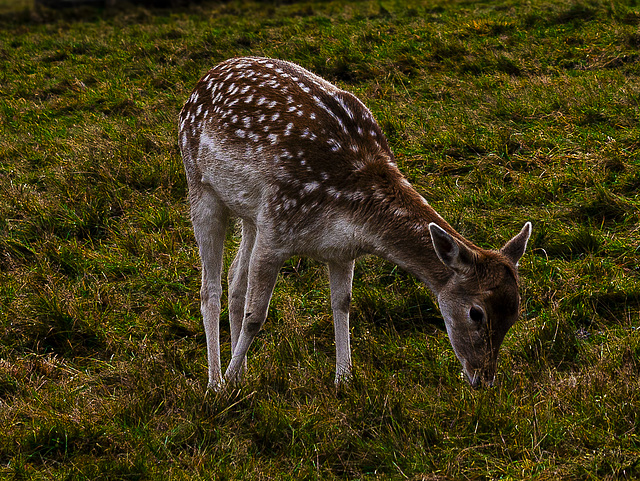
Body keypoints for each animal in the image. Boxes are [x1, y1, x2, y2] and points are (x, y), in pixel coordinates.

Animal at [178, 56, 532, 390]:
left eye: (515, 314)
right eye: (476, 312)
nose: (483, 378)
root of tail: (202, 80)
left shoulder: (339, 249)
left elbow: (342, 303)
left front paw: (344, 378)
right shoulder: (278, 225)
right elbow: (257, 316)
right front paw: (227, 384)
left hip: (249, 212)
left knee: (235, 278)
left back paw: (240, 375)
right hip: (199, 183)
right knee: (209, 289)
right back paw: (216, 382)